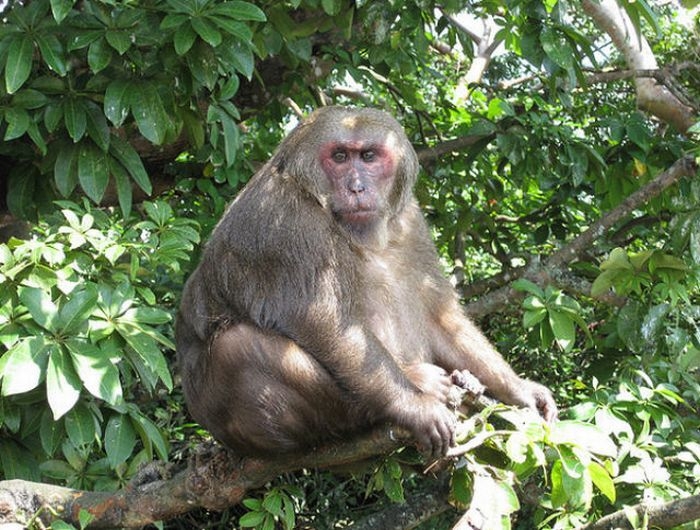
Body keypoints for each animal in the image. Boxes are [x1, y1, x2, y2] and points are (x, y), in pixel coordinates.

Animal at [176, 106, 557, 458]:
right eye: (340, 157)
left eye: (369, 156)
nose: (357, 187)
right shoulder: (286, 223)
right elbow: (322, 320)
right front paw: (412, 406)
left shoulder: (410, 218)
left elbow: (439, 316)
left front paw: (521, 390)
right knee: (236, 347)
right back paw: (399, 394)